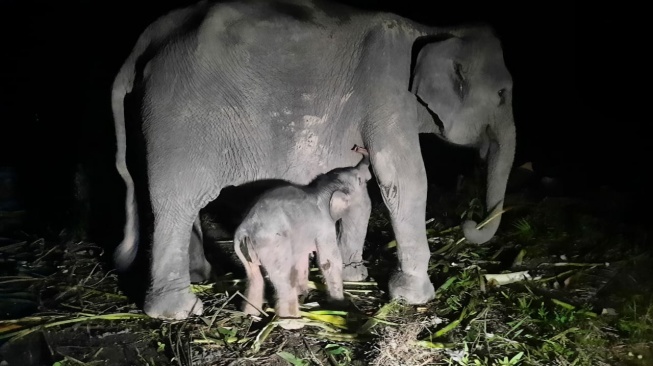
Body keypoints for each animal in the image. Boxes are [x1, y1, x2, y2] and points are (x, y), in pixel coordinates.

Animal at [234, 144, 370, 328]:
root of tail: (246, 230)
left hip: (245, 251)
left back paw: (250, 314)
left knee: (254, 277)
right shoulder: (324, 226)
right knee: (284, 279)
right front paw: (339, 304)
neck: (321, 190)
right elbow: (329, 261)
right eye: (360, 180)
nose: (358, 148)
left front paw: (304, 291)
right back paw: (293, 322)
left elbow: (302, 258)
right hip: (273, 246)